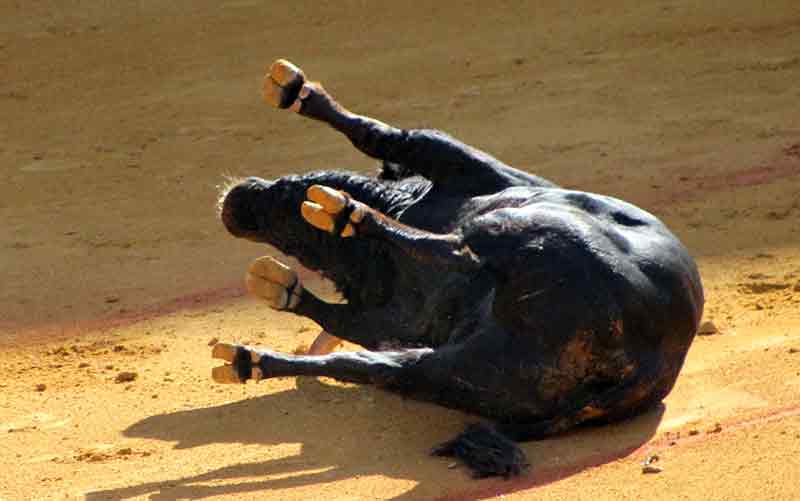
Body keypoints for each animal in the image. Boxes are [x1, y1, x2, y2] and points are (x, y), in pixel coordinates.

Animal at [214, 59, 708, 476]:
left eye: (292, 189)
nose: (236, 206)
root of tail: (644, 368)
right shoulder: (387, 320)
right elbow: (341, 318)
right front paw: (285, 288)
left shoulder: (462, 162)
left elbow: (386, 135)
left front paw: (295, 92)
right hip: (463, 374)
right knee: (373, 366)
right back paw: (247, 359)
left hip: (526, 235)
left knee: (462, 251)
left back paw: (347, 215)